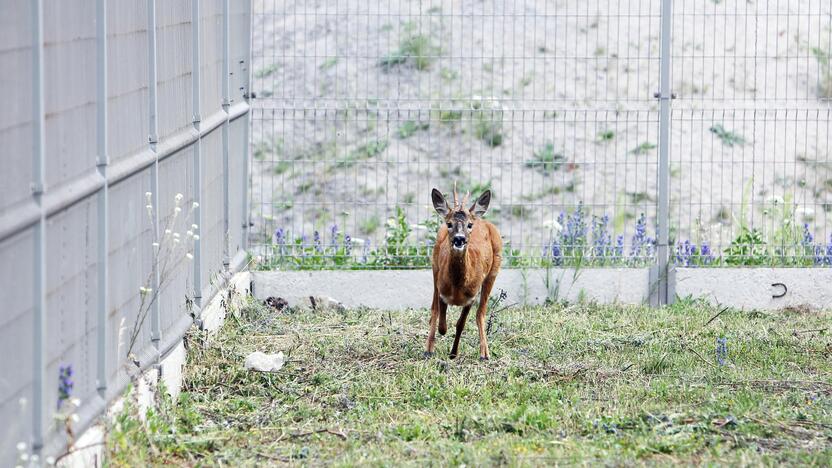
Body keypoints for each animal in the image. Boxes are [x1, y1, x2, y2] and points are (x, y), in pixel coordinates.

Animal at [426, 185, 504, 360]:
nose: (459, 239)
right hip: (434, 267)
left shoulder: (471, 297)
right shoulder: (441, 289)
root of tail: (481, 218)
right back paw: (428, 349)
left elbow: (460, 324)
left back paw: (484, 353)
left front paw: (453, 353)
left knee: (481, 313)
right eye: (449, 223)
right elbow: (441, 322)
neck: (457, 287)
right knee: (434, 309)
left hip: (493, 271)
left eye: (469, 225)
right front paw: (437, 343)